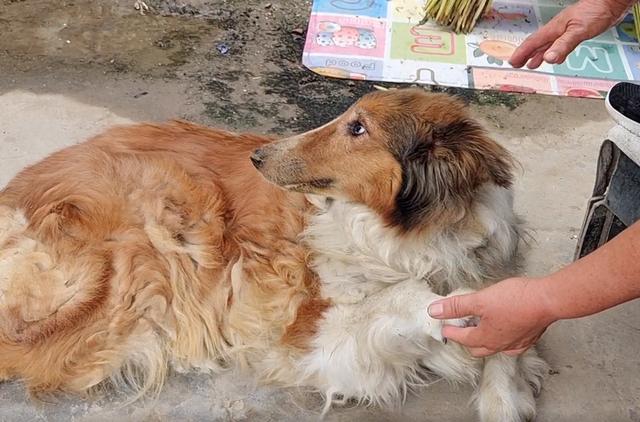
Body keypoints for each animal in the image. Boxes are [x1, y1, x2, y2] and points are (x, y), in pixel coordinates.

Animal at [0, 88, 546, 421]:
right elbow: (403, 297)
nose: (257, 158)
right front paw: (438, 309)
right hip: (152, 230)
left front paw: (504, 396)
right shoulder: (318, 339)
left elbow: (507, 341)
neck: (414, 237)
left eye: (358, 128)